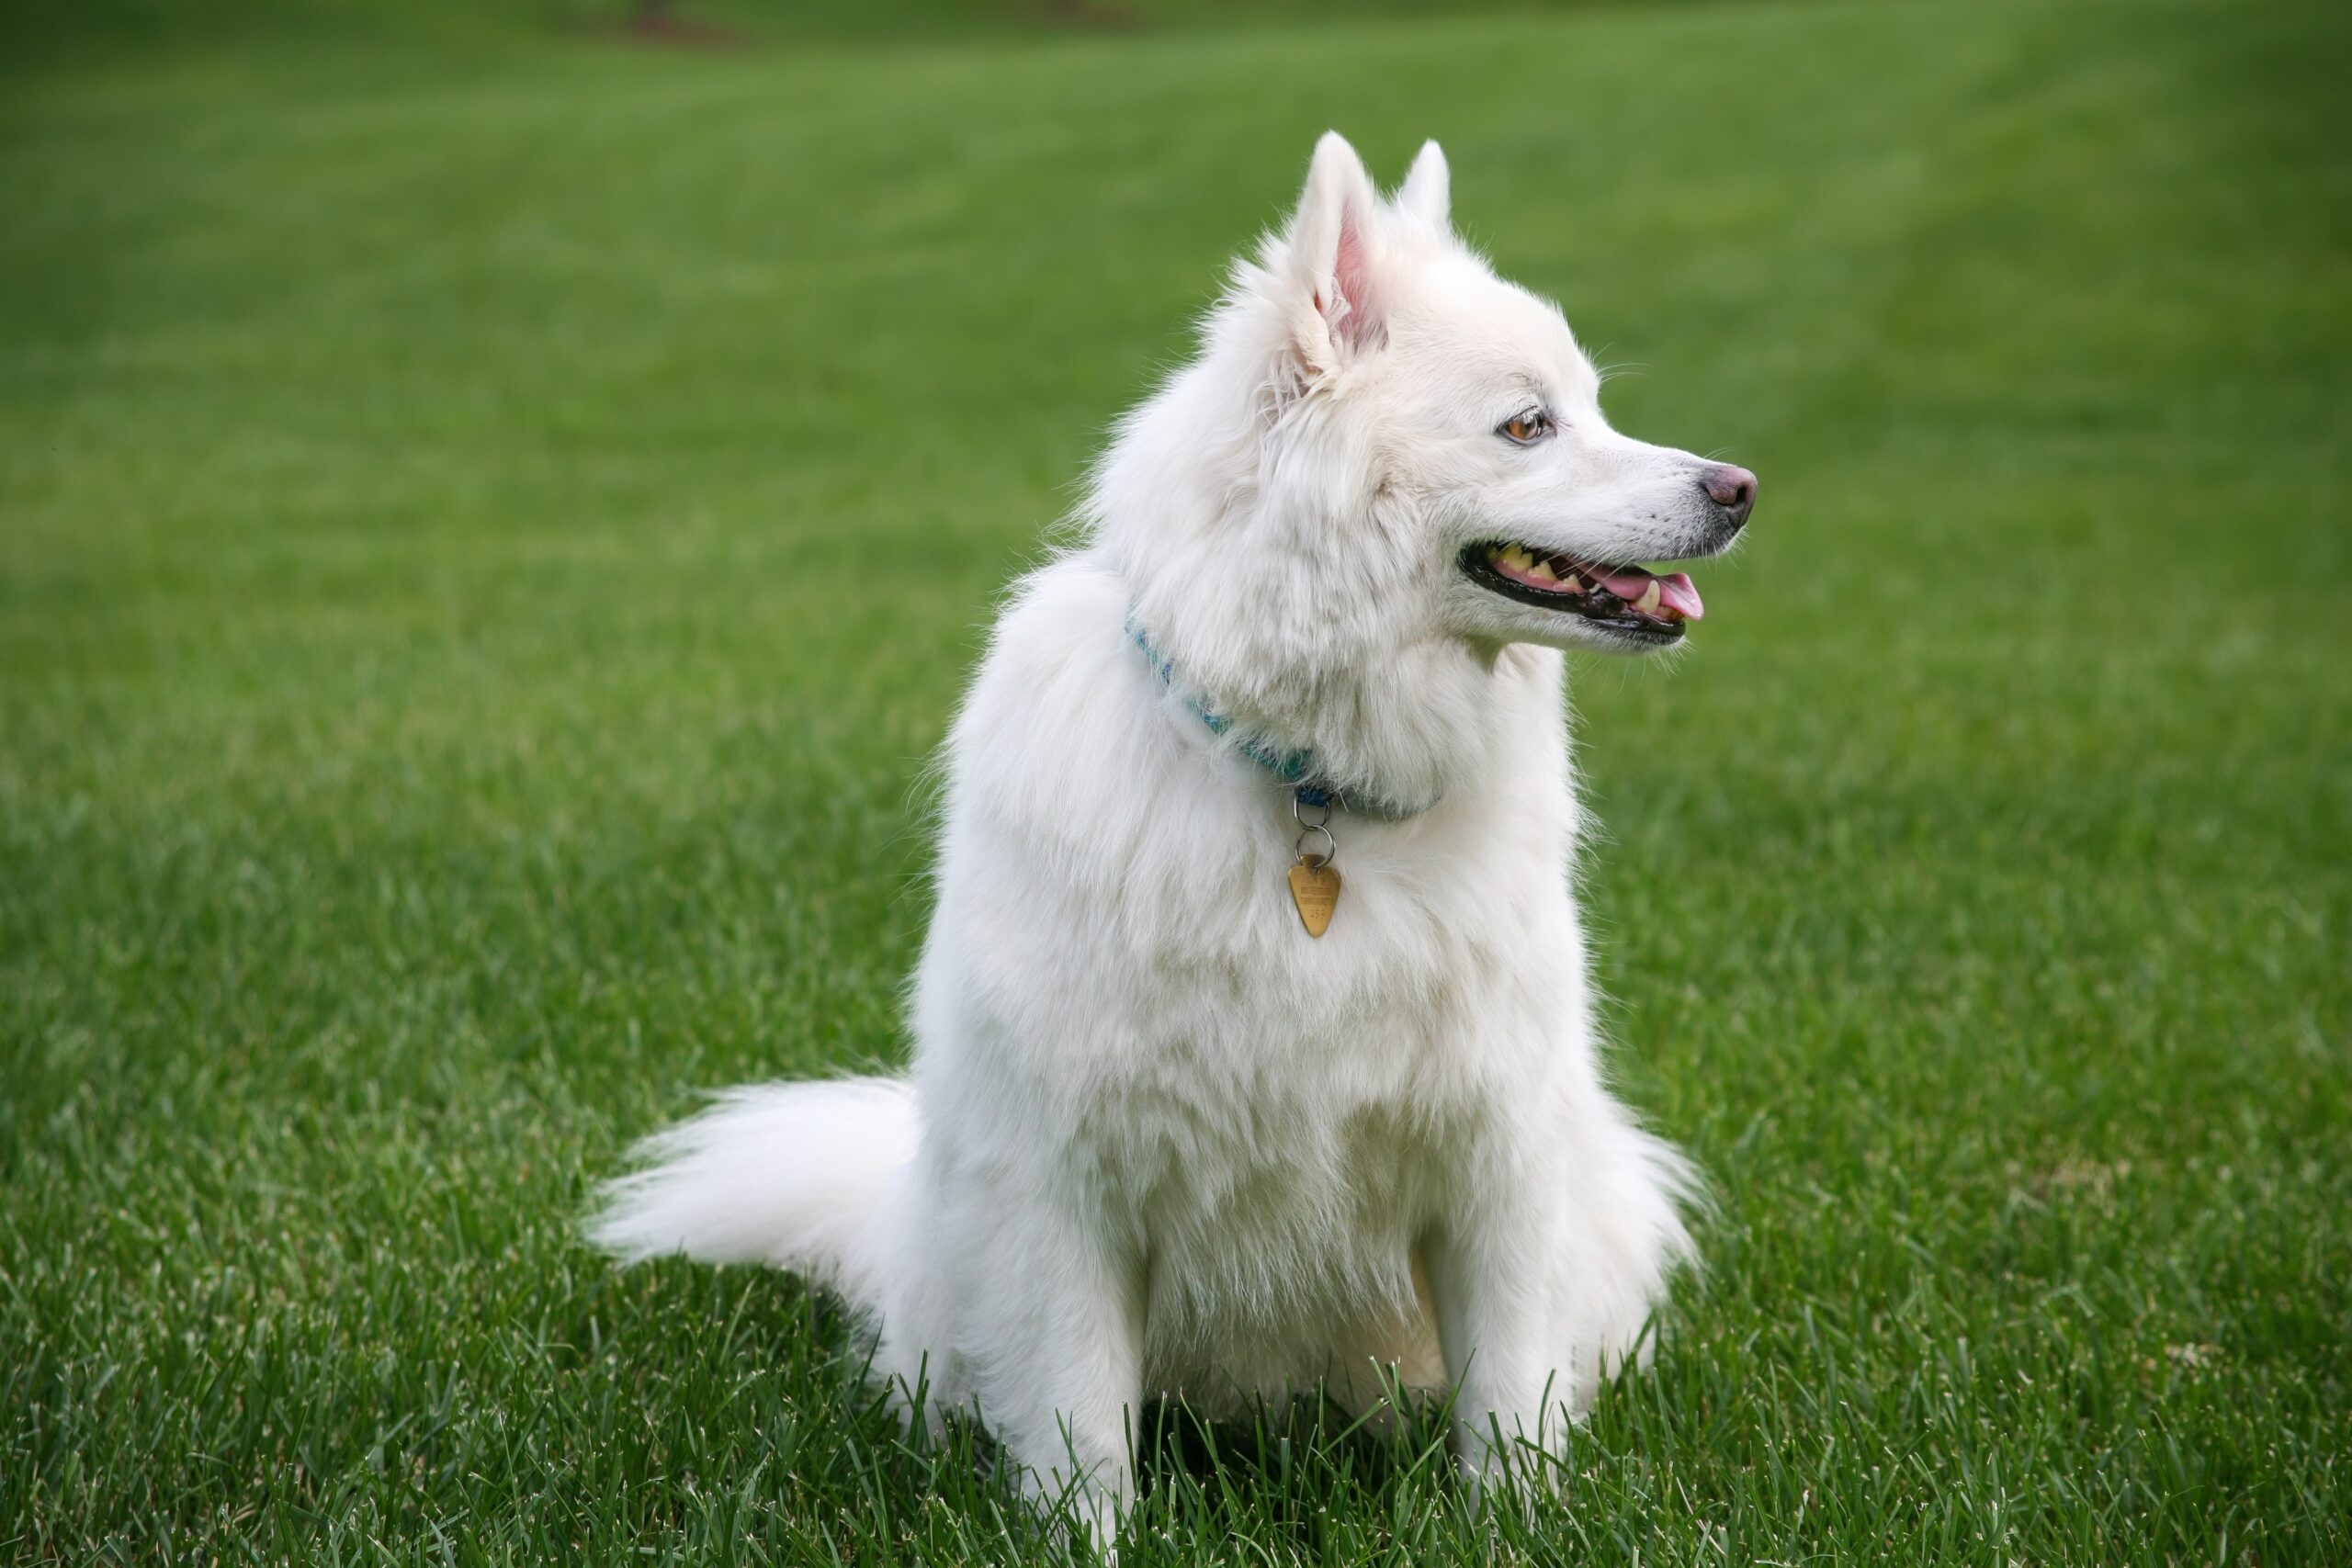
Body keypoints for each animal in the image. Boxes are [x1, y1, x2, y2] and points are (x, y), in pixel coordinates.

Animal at [597, 131, 1758, 1541]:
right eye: (1528, 425)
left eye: (1589, 405)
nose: (1740, 488)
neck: (1309, 787)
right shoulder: (1066, 1190)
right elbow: (1080, 1440)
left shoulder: (1498, 1162)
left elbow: (1509, 1413)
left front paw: (1519, 1533)